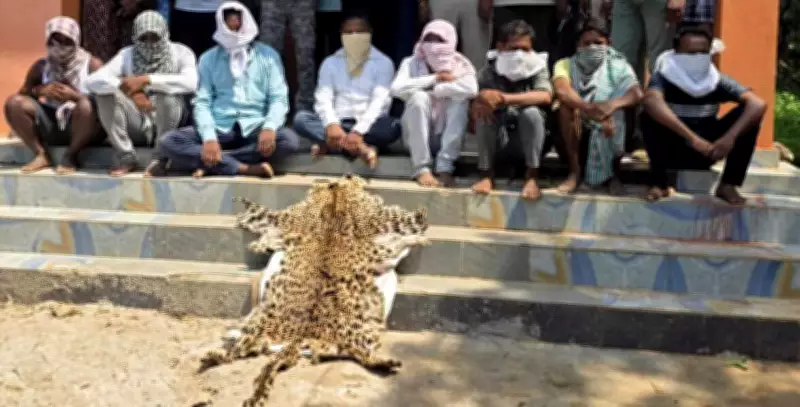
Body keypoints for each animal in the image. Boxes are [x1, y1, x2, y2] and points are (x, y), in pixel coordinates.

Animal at [198, 174, 429, 407]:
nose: (350, 175)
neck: (334, 197)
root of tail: (300, 335)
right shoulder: (383, 222)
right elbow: (408, 225)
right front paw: (420, 227)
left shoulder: (287, 221)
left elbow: (265, 218)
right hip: (360, 333)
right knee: (358, 353)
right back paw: (386, 362)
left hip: (258, 330)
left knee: (244, 349)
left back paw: (212, 356)